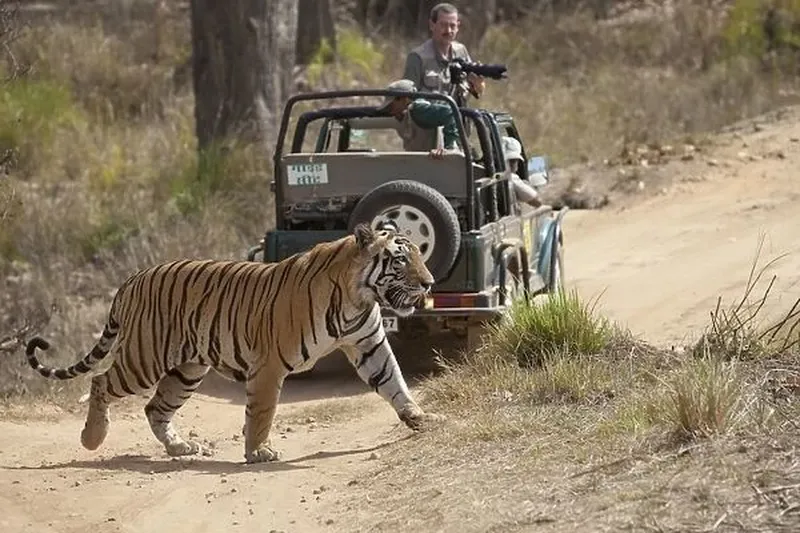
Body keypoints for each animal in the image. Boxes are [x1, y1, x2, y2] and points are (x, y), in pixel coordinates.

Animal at [21, 220, 440, 462]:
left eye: (420, 253)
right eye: (400, 260)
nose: (429, 283)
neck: (358, 297)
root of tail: (133, 277)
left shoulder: (369, 344)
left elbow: (394, 382)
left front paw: (420, 417)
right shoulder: (270, 364)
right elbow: (262, 410)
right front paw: (259, 452)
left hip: (187, 368)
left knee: (155, 407)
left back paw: (180, 448)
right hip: (144, 358)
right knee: (101, 381)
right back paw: (92, 439)